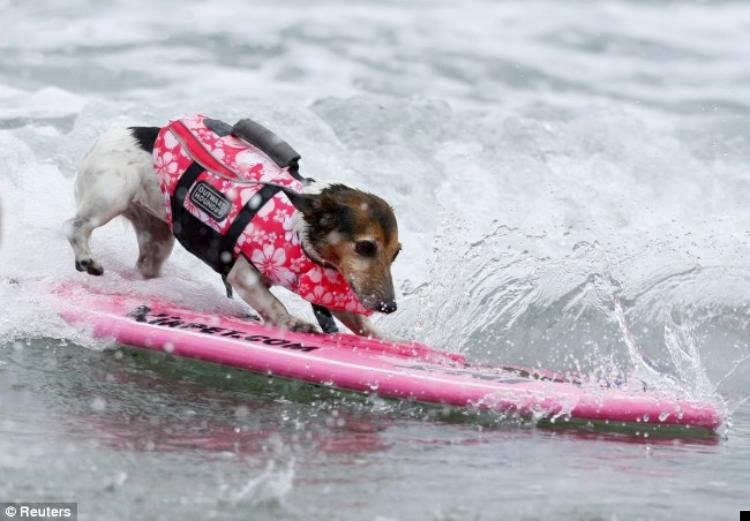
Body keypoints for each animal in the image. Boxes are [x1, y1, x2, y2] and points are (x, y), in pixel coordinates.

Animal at [66, 115, 400, 337]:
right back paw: (87, 258)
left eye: (396, 253)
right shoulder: (243, 276)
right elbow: (273, 304)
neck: (300, 233)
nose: (390, 306)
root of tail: (113, 134)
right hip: (110, 198)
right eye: (365, 247)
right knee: (75, 226)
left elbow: (362, 325)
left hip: (158, 237)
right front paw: (293, 323)